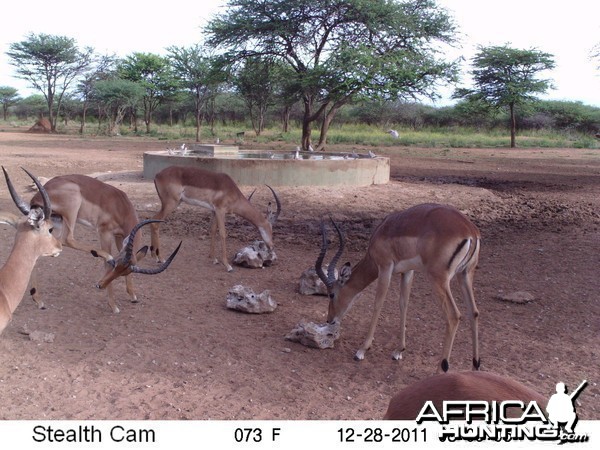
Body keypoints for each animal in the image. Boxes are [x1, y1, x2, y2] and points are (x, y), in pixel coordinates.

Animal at [2, 169, 180, 312]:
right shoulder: (104, 232)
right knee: (67, 239)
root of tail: (38, 196)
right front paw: (114, 306)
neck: (121, 206)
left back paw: (38, 300)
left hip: (56, 221)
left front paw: (133, 295)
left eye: (125, 271)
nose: (100, 285)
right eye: (116, 264)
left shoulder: (119, 237)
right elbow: (106, 261)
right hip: (71, 212)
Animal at [150, 165, 282, 270]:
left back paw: (154, 257)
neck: (232, 191)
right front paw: (228, 266)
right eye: (270, 228)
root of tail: (157, 175)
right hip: (171, 204)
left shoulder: (213, 211)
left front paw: (214, 259)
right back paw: (161, 258)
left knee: (152, 220)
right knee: (156, 223)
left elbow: (213, 230)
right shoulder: (220, 210)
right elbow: (223, 233)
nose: (271, 246)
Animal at [316, 204, 480, 372]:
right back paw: (475, 366)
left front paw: (361, 351)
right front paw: (399, 351)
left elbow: (378, 304)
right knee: (473, 312)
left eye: (331, 294)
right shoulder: (407, 271)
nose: (330, 320)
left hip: (439, 279)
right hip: (465, 274)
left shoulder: (385, 268)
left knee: (453, 315)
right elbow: (403, 304)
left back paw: (441, 369)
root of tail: (470, 231)